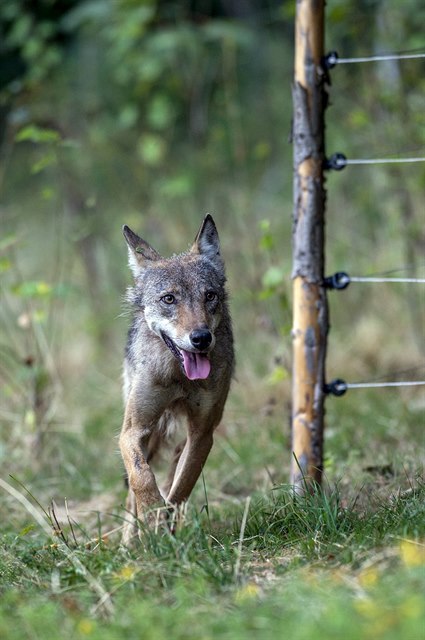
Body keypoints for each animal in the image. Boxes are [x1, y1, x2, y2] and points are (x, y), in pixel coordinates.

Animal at [118, 216, 232, 544]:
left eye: (210, 296)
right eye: (169, 299)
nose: (201, 338)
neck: (179, 378)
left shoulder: (202, 435)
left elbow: (181, 488)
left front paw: (163, 527)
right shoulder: (132, 432)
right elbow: (142, 478)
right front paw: (152, 519)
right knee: (131, 494)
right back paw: (127, 542)